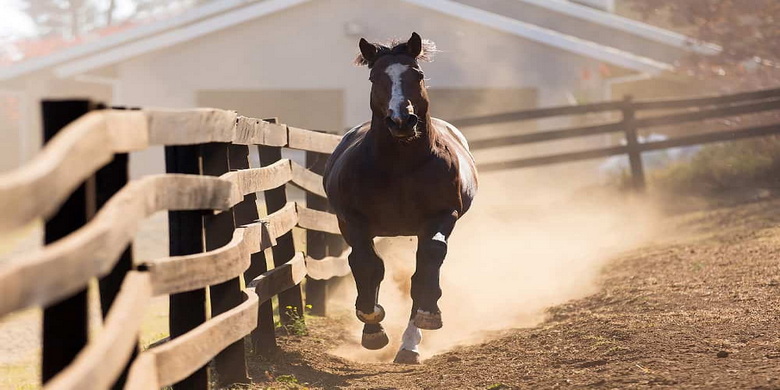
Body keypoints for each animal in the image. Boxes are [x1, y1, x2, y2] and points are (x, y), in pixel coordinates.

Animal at [322, 32, 478, 364]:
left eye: (416, 74)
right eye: (375, 77)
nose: (402, 121)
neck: (399, 166)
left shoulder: (442, 215)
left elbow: (428, 262)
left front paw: (428, 315)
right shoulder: (353, 220)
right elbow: (367, 264)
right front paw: (372, 326)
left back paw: (409, 345)